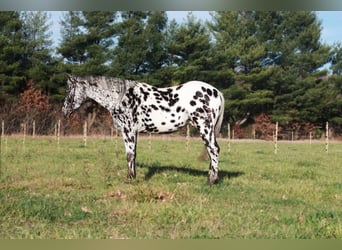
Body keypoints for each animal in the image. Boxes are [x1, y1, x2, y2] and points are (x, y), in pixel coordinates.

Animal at [62, 75, 224, 184]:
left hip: (204, 127)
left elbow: (129, 155)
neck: (121, 98)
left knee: (213, 149)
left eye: (69, 89)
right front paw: (133, 177)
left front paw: (129, 179)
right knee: (211, 151)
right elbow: (134, 155)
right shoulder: (134, 132)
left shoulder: (128, 131)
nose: (64, 111)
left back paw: (211, 180)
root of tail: (216, 92)